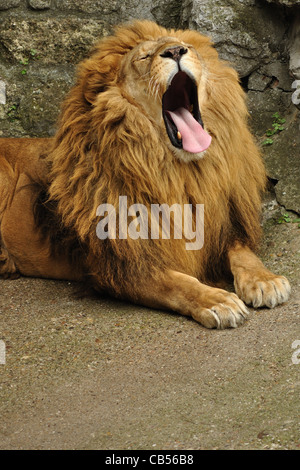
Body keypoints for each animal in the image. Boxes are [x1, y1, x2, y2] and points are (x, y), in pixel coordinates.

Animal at [0, 21, 290, 326]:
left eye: (187, 47)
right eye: (143, 57)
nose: (175, 51)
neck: (181, 173)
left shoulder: (225, 227)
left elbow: (243, 254)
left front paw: (265, 280)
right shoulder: (123, 263)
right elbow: (177, 284)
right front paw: (216, 300)